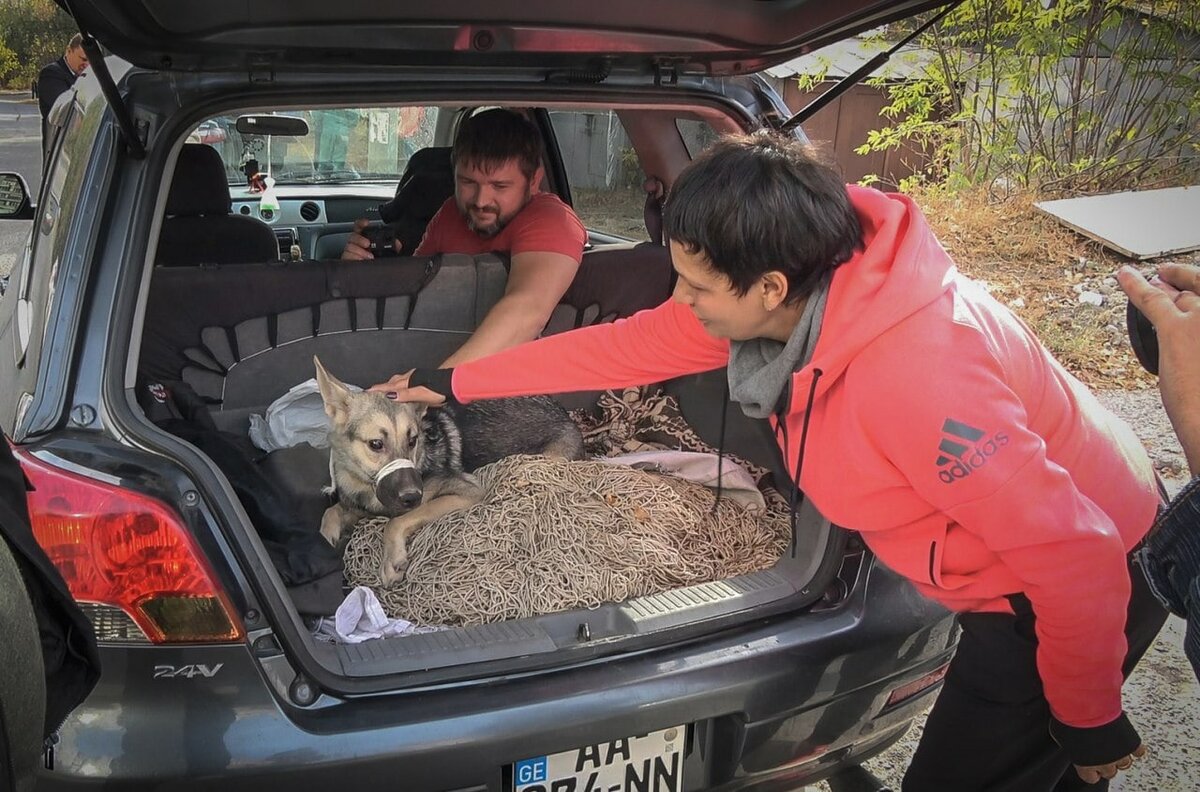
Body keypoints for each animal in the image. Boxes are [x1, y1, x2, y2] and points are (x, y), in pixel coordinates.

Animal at [314, 355, 585, 585]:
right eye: (376, 444)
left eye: (412, 440)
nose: (413, 496)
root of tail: (566, 416)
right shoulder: (358, 504)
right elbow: (330, 513)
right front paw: (328, 538)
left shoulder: (467, 492)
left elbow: (398, 521)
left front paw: (391, 559)